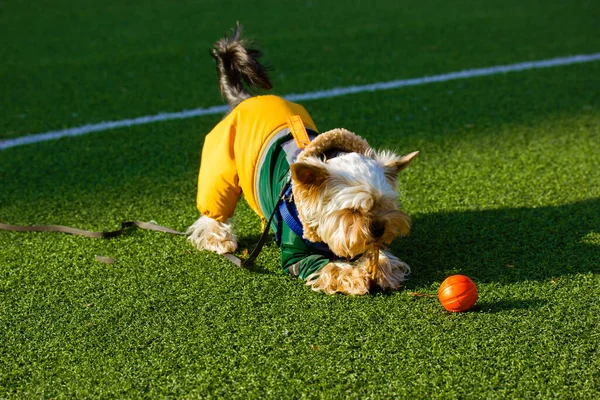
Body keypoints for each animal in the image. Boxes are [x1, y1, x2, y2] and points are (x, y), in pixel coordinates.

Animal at [186, 24, 418, 294]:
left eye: (385, 204)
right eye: (352, 211)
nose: (379, 229)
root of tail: (243, 99)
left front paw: (382, 268)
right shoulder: (298, 256)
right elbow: (332, 267)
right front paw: (356, 277)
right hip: (219, 168)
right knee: (214, 208)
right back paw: (219, 238)